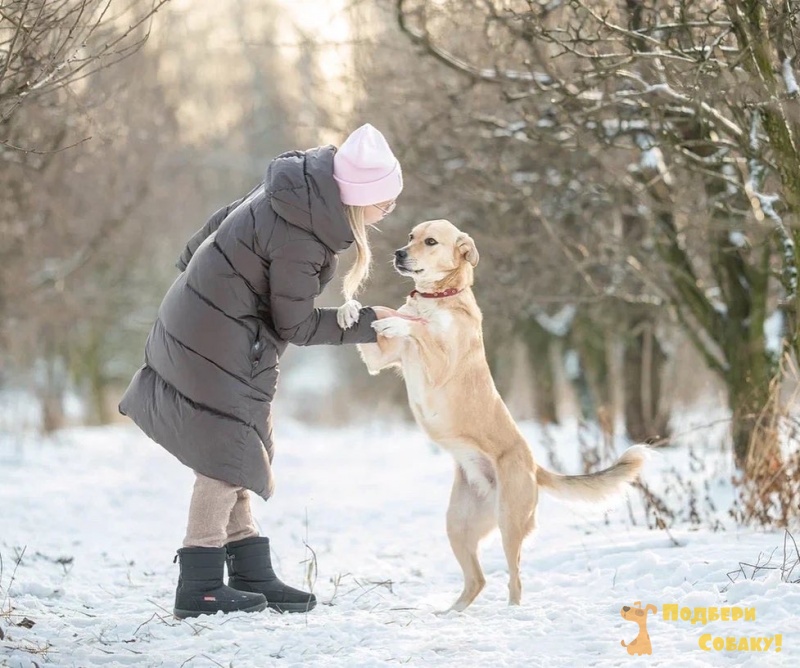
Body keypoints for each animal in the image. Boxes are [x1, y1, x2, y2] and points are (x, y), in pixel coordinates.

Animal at [354, 219, 648, 612]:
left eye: (430, 242)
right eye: (410, 237)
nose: (399, 254)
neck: (439, 299)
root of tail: (534, 466)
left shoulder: (440, 363)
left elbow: (419, 328)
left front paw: (401, 323)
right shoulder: (379, 360)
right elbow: (385, 320)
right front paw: (353, 308)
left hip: (509, 522)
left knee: (514, 581)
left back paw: (510, 612)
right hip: (458, 525)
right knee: (477, 580)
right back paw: (451, 614)